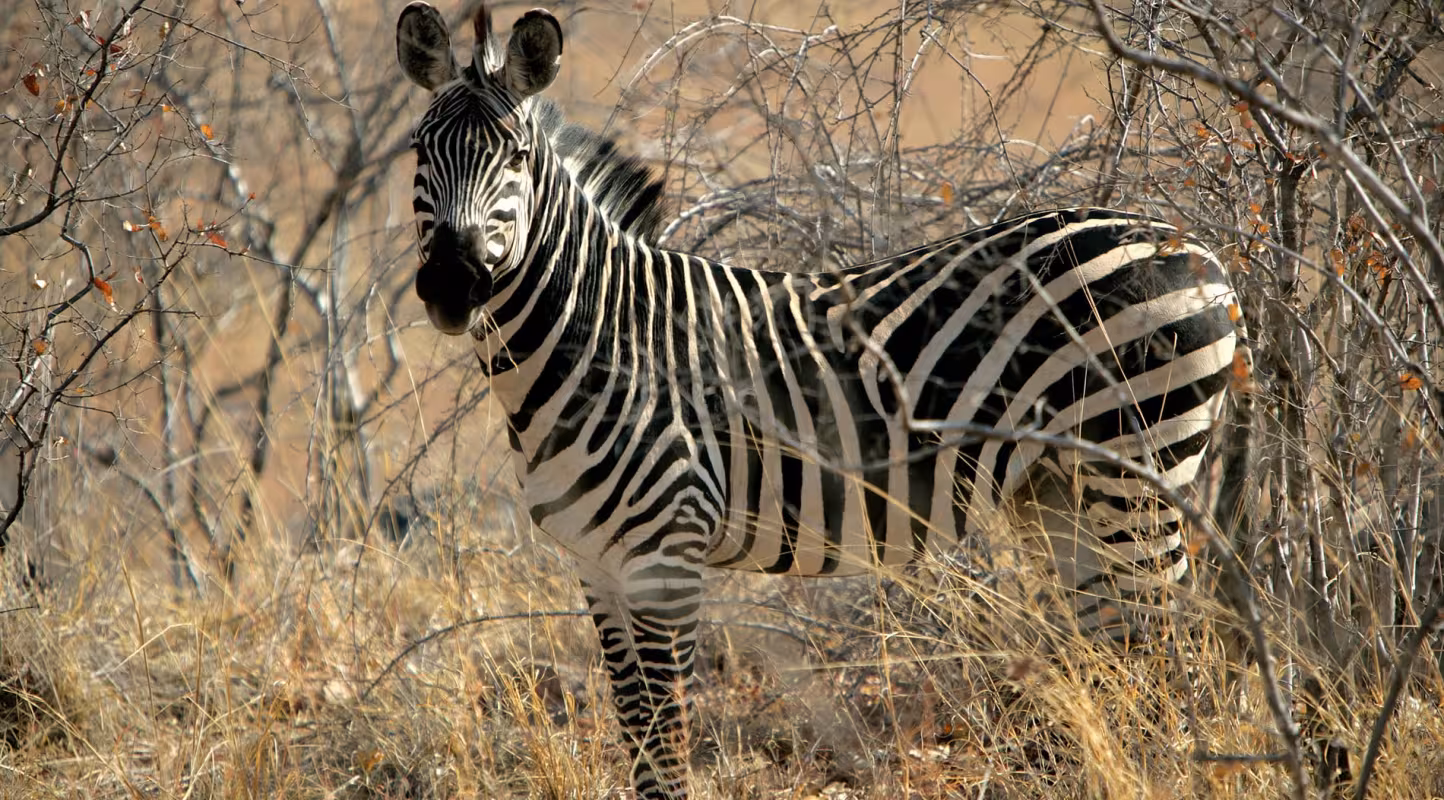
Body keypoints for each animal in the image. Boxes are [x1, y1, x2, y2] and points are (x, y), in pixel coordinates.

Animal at [396, 3, 1241, 798]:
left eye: (517, 156)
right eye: (418, 151)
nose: (450, 286)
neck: (602, 334)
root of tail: (1190, 244)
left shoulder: (668, 551)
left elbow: (665, 734)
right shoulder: (595, 564)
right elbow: (635, 726)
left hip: (1139, 470)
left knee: (1171, 649)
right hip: (1062, 492)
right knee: (1115, 647)